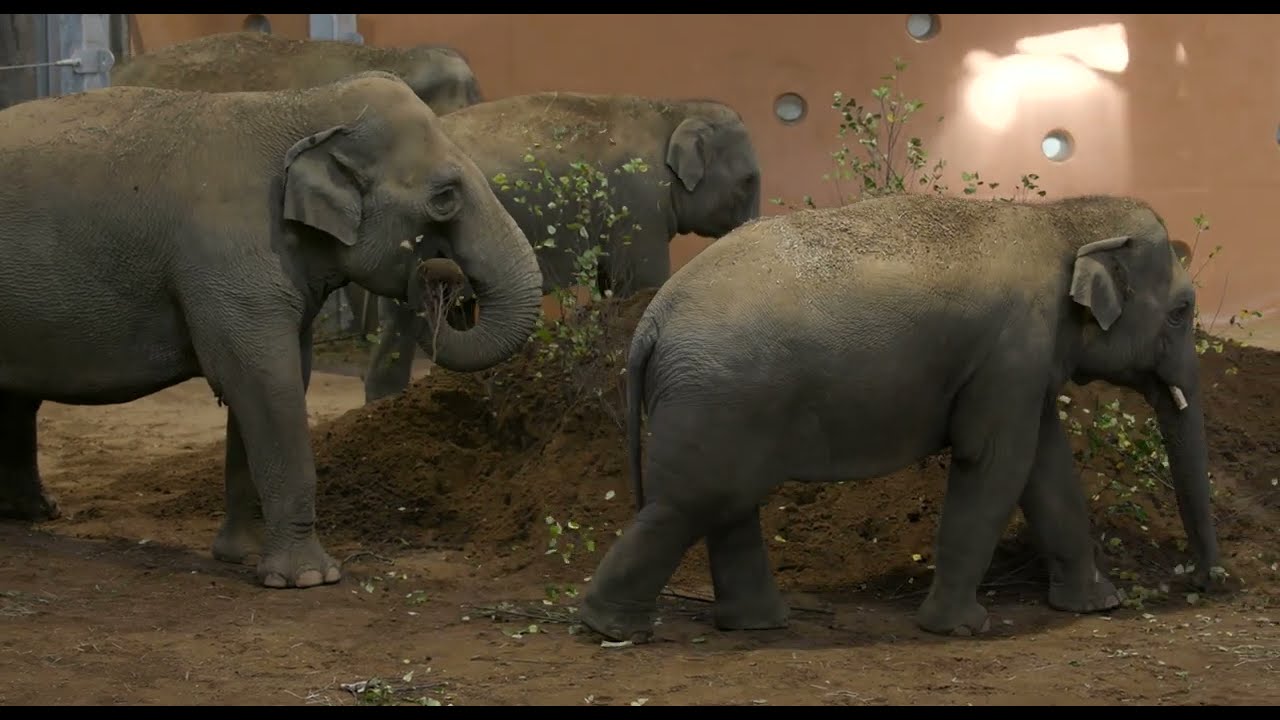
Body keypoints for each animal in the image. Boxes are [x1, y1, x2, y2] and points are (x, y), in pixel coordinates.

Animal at [0, 71, 543, 590]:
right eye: (445, 198)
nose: (439, 274)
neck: (302, 105)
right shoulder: (230, 257)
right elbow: (263, 381)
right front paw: (310, 578)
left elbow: (277, 382)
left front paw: (242, 556)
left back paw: (35, 515)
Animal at [358, 91, 763, 403]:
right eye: (748, 181)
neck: (671, 109)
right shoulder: (639, 204)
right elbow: (644, 282)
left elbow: (613, 286)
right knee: (403, 325)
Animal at [578, 192, 1222, 642]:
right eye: (1181, 311)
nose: (1207, 585)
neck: (1061, 220)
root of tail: (653, 318)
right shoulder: (1011, 351)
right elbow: (995, 463)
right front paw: (960, 628)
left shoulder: (1021, 368)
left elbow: (1046, 468)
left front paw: (1097, 606)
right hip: (718, 394)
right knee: (692, 502)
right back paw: (611, 629)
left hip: (722, 399)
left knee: (726, 502)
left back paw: (758, 625)